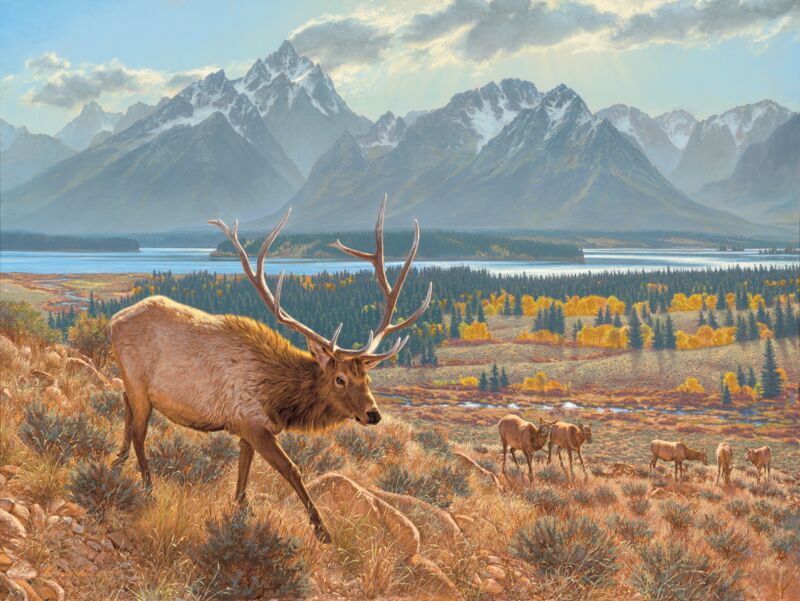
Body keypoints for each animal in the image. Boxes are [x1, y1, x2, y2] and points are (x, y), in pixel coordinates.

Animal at [109, 195, 432, 543]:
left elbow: (243, 473)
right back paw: (148, 488)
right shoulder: (251, 422)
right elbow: (292, 469)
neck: (278, 398)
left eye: (367, 377)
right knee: (140, 432)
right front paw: (323, 531)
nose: (373, 414)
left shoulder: (246, 428)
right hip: (139, 383)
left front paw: (241, 512)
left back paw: (117, 463)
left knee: (125, 408)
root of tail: (113, 320)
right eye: (340, 379)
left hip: (132, 383)